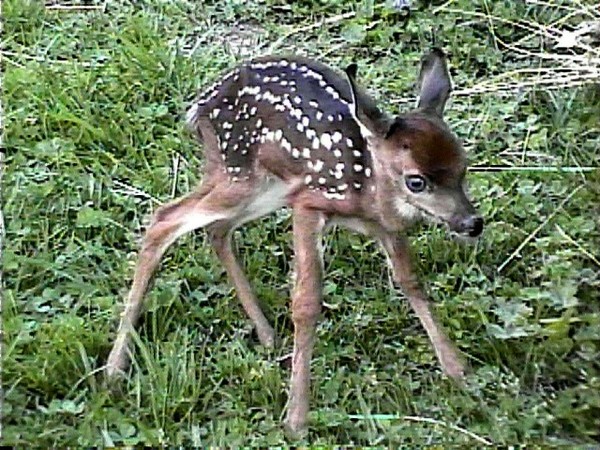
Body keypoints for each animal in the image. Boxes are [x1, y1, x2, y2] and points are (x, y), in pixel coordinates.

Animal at [106, 48, 482, 436]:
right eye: (416, 181)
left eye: (464, 166)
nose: (472, 223)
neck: (366, 186)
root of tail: (200, 106)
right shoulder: (308, 203)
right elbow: (306, 301)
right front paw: (296, 419)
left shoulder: (384, 226)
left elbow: (411, 282)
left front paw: (460, 373)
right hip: (242, 175)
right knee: (164, 220)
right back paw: (114, 370)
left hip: (264, 186)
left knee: (216, 230)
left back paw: (267, 335)